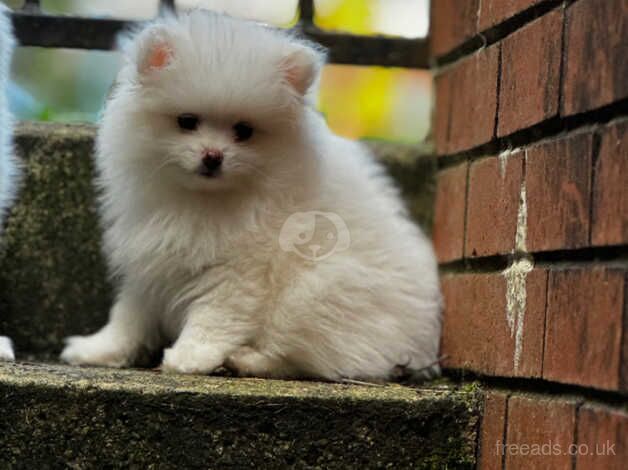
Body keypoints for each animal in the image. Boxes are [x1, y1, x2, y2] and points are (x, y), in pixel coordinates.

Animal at [60, 11, 442, 382]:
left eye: (243, 130)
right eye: (187, 121)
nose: (213, 156)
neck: (201, 199)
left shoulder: (240, 269)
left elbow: (216, 314)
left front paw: (190, 356)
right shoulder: (151, 259)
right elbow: (129, 316)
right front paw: (98, 350)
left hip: (315, 290)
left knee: (301, 356)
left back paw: (245, 360)